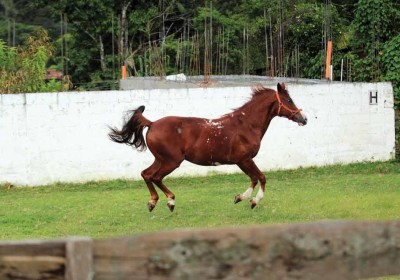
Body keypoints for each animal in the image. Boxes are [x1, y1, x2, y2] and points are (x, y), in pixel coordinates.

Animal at [109, 83, 306, 212]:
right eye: (288, 99)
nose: (304, 119)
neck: (246, 125)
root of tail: (152, 123)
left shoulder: (244, 161)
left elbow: (255, 178)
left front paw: (240, 198)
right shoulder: (244, 160)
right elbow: (261, 177)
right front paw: (253, 201)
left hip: (160, 159)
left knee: (146, 174)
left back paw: (153, 202)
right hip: (172, 161)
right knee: (155, 177)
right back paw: (170, 202)